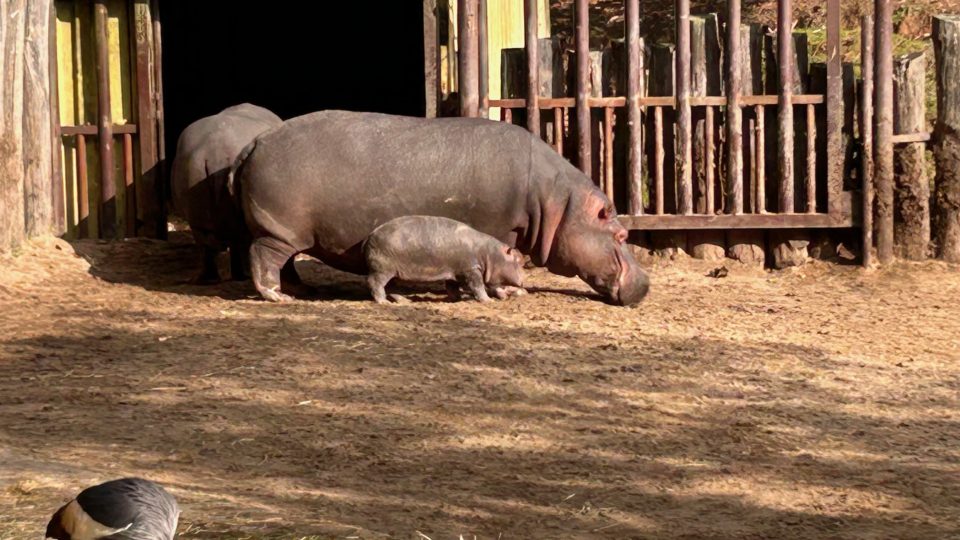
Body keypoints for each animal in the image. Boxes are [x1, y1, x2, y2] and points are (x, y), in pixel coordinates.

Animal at [171, 103, 282, 284]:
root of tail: (215, 153)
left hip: (193, 182)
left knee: (206, 242)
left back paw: (208, 279)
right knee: (237, 240)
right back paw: (242, 276)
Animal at [364, 217, 524, 306]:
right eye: (518, 260)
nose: (524, 281)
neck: (489, 253)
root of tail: (369, 236)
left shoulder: (455, 271)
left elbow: (452, 287)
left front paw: (458, 298)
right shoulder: (471, 269)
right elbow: (477, 286)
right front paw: (487, 301)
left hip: (393, 272)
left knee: (392, 287)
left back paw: (404, 301)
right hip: (383, 269)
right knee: (374, 283)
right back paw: (383, 302)